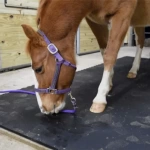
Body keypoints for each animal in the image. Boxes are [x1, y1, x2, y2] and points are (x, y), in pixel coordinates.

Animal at [21, 0, 150, 114]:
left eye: (38, 69)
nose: (44, 109)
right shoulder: (95, 22)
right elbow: (104, 51)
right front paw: (109, 84)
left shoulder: (122, 15)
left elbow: (110, 54)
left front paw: (100, 98)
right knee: (140, 41)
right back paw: (133, 70)